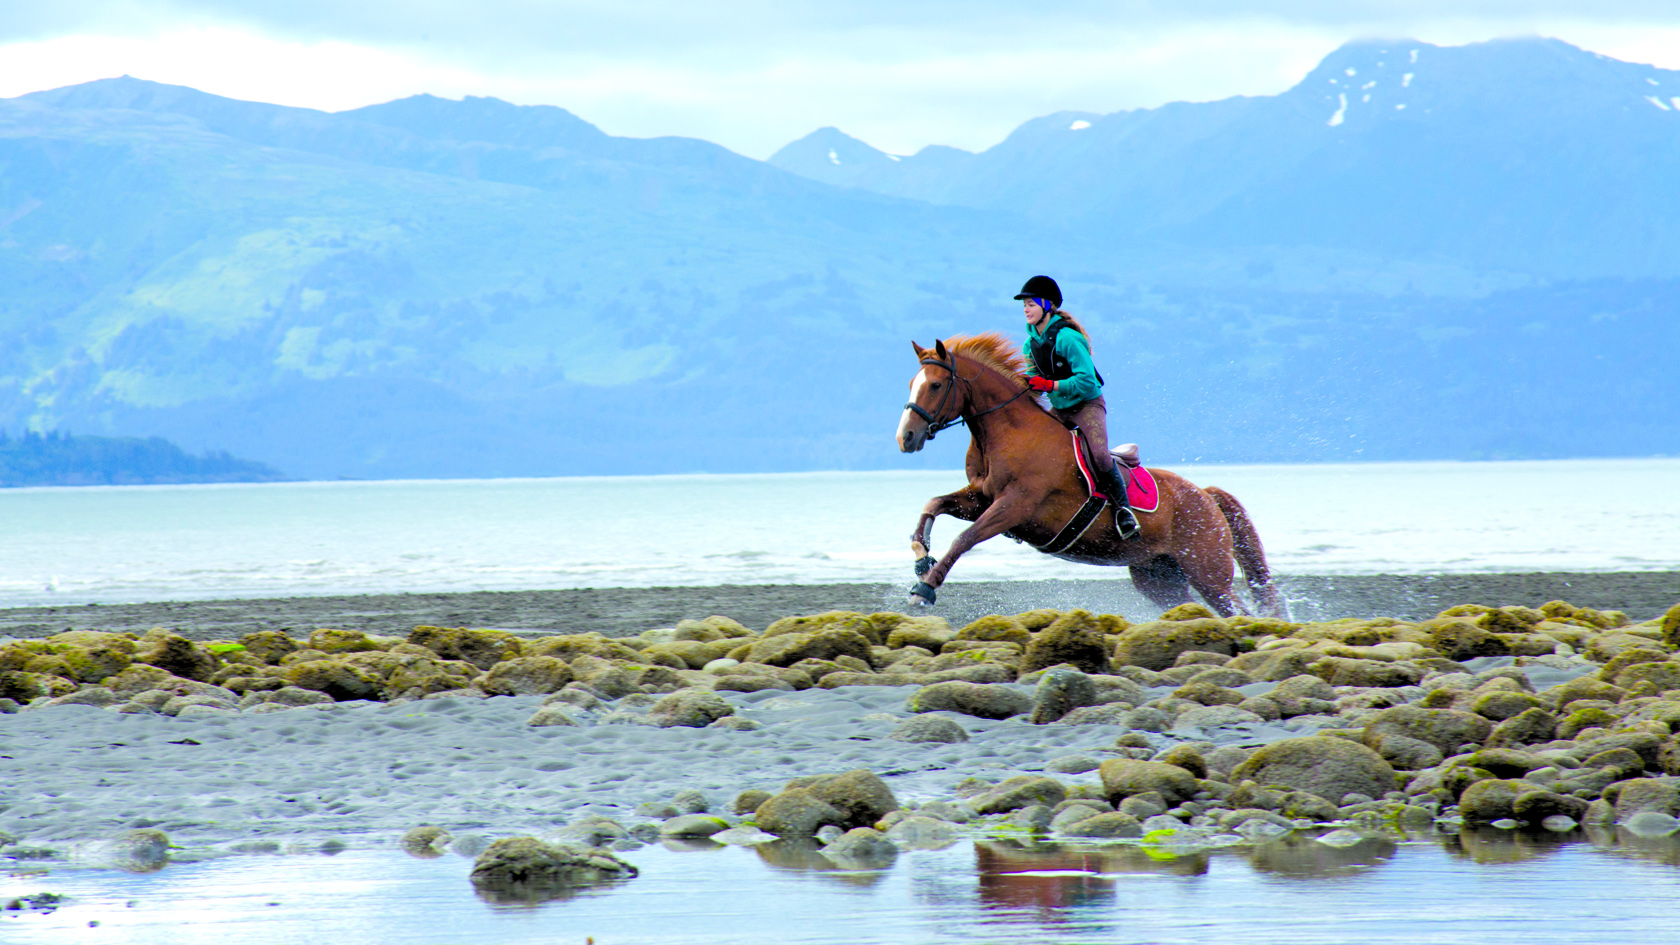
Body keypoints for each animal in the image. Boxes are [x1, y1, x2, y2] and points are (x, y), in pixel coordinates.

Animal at [907, 332, 1283, 618]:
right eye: (912, 383)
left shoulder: (1013, 506)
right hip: (1158, 576)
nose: (906, 437)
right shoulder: (981, 498)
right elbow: (933, 504)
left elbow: (964, 538)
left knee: (1236, 610)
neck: (1008, 432)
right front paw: (921, 555)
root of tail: (1206, 496)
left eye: (936, 385)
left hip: (1208, 574)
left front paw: (924, 588)